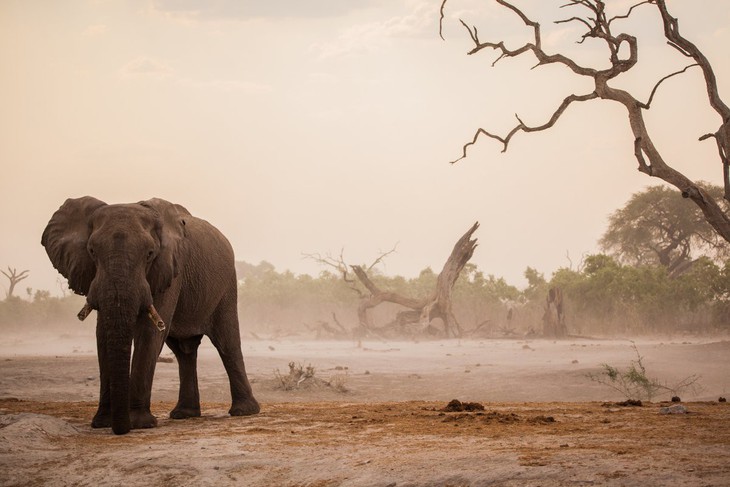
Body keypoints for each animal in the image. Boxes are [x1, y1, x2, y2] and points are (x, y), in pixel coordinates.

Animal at [41, 196, 260, 436]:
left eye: (149, 254)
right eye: (91, 251)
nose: (120, 429)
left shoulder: (170, 269)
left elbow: (148, 333)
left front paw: (139, 423)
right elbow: (103, 335)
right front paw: (102, 423)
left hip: (226, 287)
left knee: (226, 343)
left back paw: (244, 411)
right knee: (184, 351)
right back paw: (184, 414)